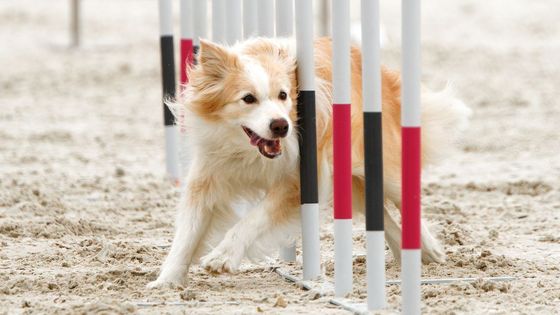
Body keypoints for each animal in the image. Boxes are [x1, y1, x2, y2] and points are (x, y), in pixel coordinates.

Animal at [147, 37, 470, 288]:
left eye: (283, 95)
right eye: (248, 98)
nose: (281, 126)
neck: (247, 152)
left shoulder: (298, 181)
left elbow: (253, 219)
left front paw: (223, 256)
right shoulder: (208, 177)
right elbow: (187, 232)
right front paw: (166, 280)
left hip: (381, 163)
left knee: (406, 199)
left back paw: (428, 249)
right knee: (380, 213)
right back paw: (405, 252)